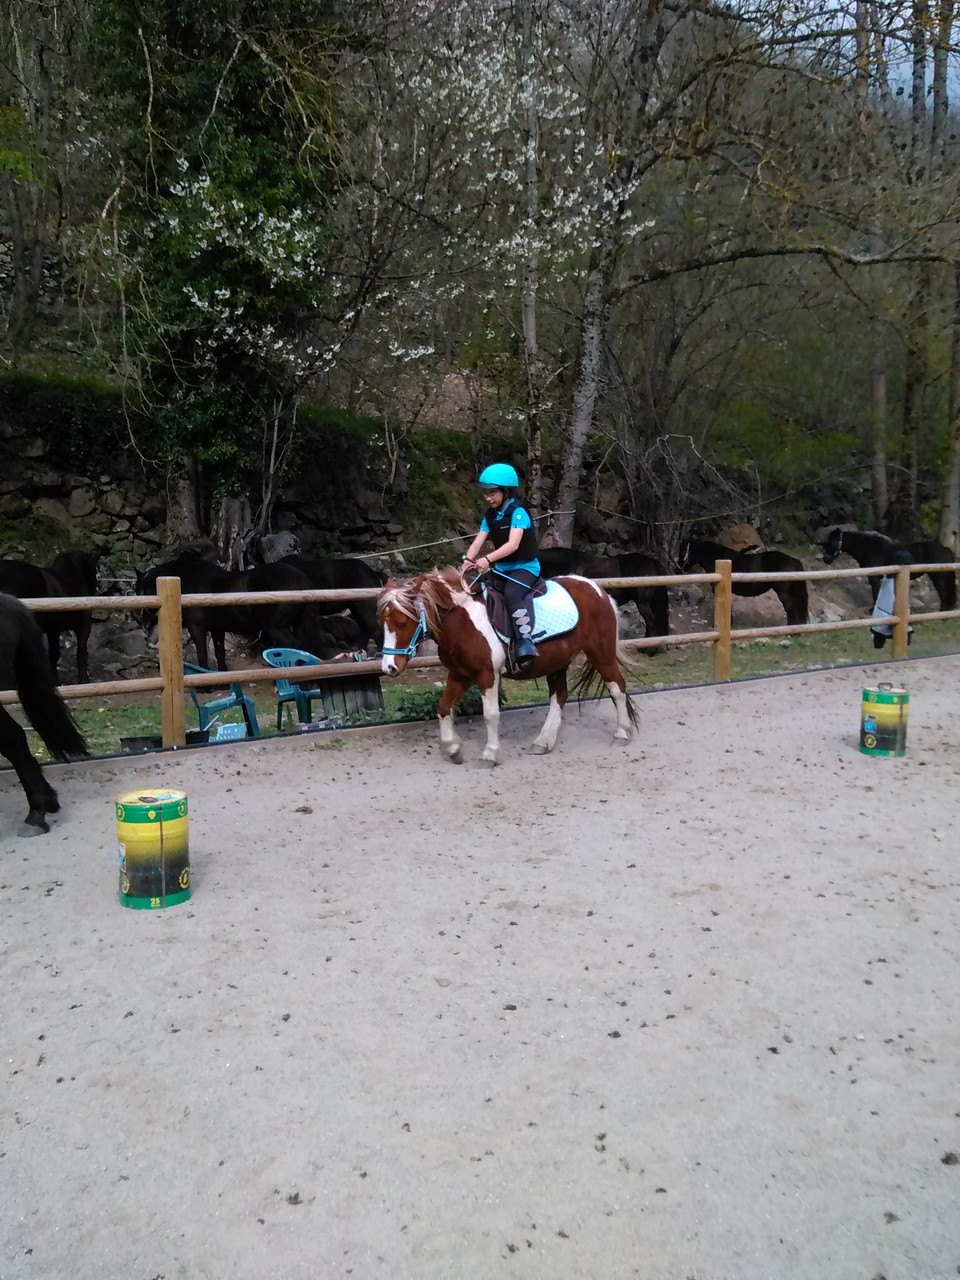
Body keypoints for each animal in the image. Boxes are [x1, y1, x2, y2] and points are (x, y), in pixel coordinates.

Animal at [378, 568, 642, 762]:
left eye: (402, 623)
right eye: (383, 622)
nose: (389, 668)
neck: (463, 621)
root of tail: (597, 589)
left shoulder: (487, 675)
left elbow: (490, 715)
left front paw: (490, 754)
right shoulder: (460, 674)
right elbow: (443, 708)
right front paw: (453, 749)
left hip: (601, 653)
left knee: (617, 687)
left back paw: (622, 733)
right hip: (558, 661)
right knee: (559, 696)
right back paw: (543, 742)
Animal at [675, 535, 814, 624]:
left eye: (683, 550)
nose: (677, 569)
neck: (717, 559)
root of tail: (792, 560)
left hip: (784, 593)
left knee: (791, 608)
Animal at [824, 527, 957, 611]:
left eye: (833, 542)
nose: (825, 559)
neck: (870, 549)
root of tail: (946, 549)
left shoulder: (874, 578)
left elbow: (876, 593)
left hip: (939, 577)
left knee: (943, 593)